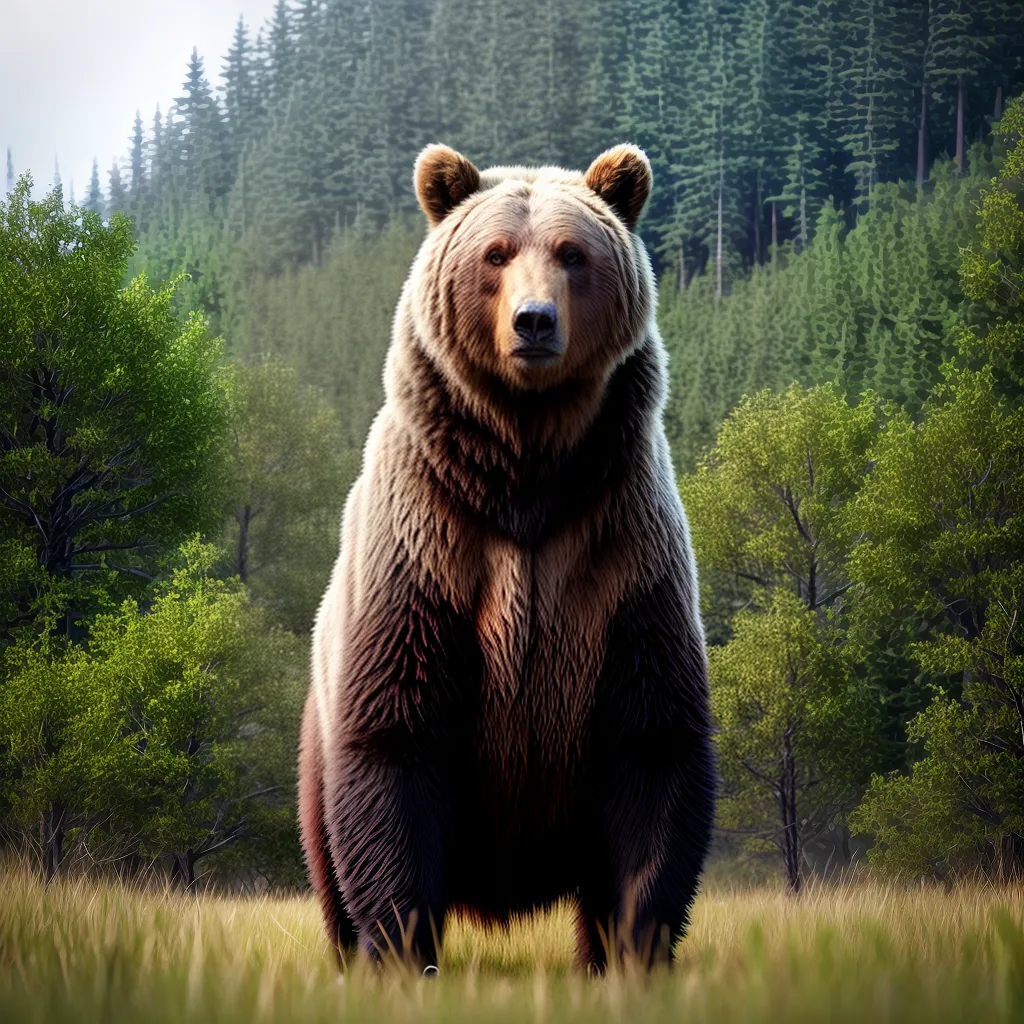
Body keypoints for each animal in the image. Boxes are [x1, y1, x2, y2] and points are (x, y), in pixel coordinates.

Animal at [297, 142, 715, 971]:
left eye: (572, 253)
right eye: (495, 253)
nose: (534, 321)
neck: (524, 470)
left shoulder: (622, 557)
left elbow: (652, 748)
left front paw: (635, 947)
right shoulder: (428, 552)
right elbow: (396, 742)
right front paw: (402, 948)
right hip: (315, 752)